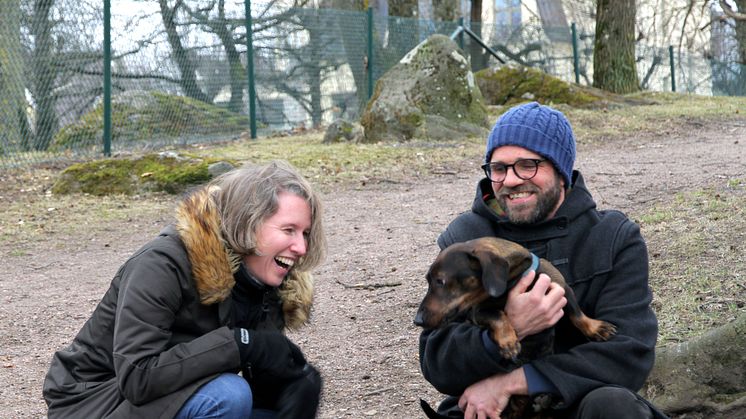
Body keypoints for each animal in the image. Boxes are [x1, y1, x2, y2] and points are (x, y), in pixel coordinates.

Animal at [412, 238, 616, 418]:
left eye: (440, 281)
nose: (417, 320)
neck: (512, 281)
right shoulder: (478, 311)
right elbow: (498, 316)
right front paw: (508, 342)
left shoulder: (561, 287)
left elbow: (577, 314)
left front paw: (596, 328)